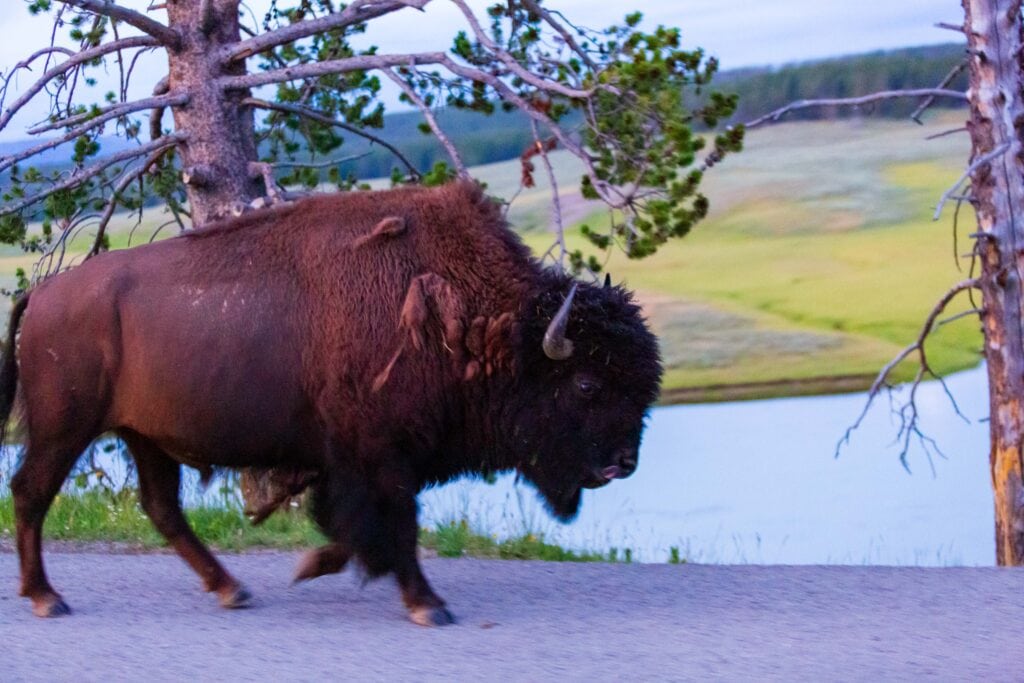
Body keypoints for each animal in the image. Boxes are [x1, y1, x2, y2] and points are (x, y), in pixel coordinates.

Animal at [0, 181, 661, 625]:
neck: (491, 328)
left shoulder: (357, 461)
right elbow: (396, 522)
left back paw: (231, 589)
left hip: (145, 437)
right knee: (31, 492)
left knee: (162, 508)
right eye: (586, 385)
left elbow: (357, 525)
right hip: (66, 426)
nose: (624, 462)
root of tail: (43, 293)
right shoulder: (380, 454)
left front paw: (313, 564)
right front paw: (428, 605)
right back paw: (47, 598)